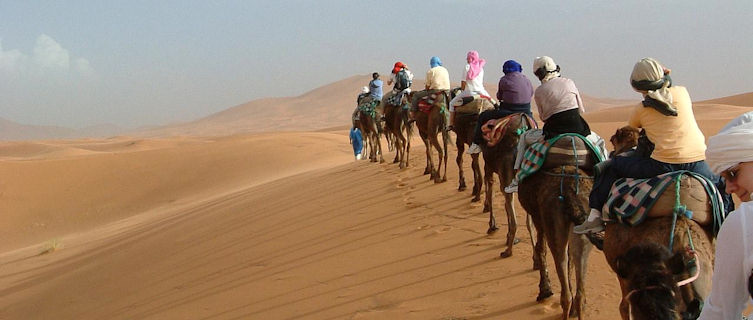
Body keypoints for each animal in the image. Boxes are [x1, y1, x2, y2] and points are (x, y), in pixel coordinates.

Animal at [516, 136, 600, 320]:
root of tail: (570, 191)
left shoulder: (538, 218)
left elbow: (540, 249)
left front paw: (544, 290)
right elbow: (570, 262)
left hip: (553, 224)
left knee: (565, 293)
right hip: (584, 228)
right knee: (580, 293)